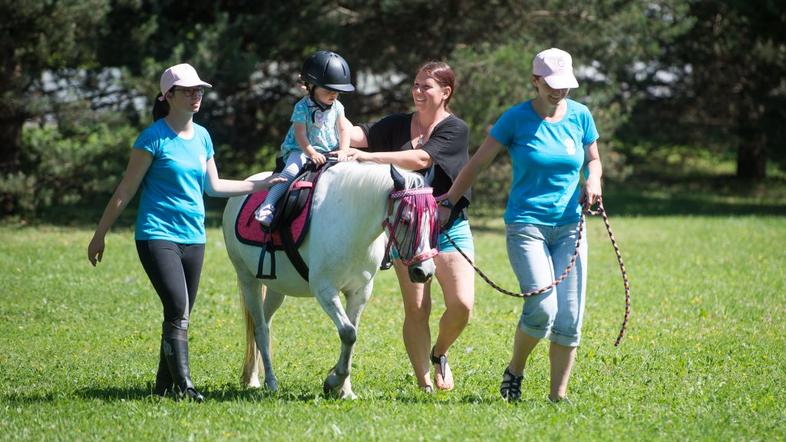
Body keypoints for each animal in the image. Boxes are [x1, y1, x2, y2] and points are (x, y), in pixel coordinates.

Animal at [224, 161, 438, 398]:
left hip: (276, 288)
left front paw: (344, 389)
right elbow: (348, 333)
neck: (352, 224)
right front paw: (334, 381)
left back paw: (254, 376)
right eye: (406, 219)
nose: (425, 271)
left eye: (433, 219)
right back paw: (267, 381)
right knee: (260, 330)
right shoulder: (325, 290)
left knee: (262, 325)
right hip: (248, 280)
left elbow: (352, 336)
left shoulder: (360, 291)